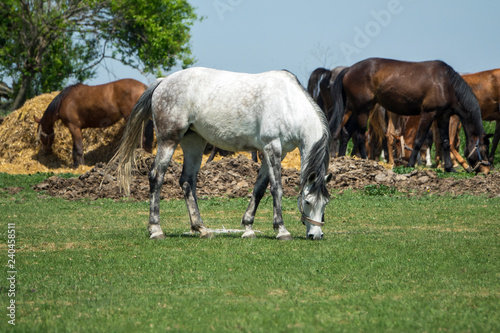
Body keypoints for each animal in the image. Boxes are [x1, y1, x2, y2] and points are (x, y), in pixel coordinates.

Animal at [112, 67, 334, 239]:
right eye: (307, 201)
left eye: (325, 203)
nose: (316, 235)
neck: (288, 103)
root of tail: (163, 82)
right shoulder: (273, 148)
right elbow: (276, 188)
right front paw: (281, 229)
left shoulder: (274, 152)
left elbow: (259, 189)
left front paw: (248, 227)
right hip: (169, 141)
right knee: (156, 177)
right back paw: (156, 229)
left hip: (194, 142)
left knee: (187, 181)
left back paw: (201, 228)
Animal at [330, 57, 490, 174]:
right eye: (483, 149)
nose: (487, 170)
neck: (446, 84)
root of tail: (349, 69)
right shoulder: (428, 114)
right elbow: (419, 140)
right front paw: (411, 164)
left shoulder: (442, 116)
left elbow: (445, 142)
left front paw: (449, 168)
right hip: (363, 109)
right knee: (360, 136)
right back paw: (365, 160)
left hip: (356, 109)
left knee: (345, 132)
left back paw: (342, 158)